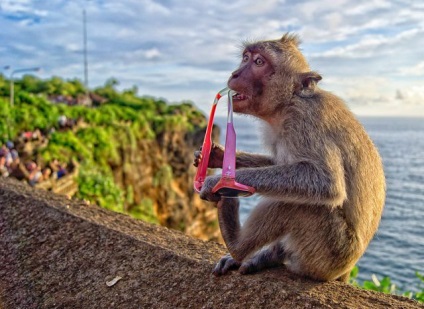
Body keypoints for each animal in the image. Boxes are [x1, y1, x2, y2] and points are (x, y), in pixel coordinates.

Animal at [194, 33, 386, 282]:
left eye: (259, 62)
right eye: (245, 57)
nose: (235, 74)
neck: (287, 103)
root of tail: (345, 271)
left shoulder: (304, 121)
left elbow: (325, 181)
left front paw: (218, 181)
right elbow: (281, 164)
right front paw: (216, 155)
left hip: (330, 254)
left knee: (301, 203)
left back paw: (236, 242)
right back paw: (268, 256)